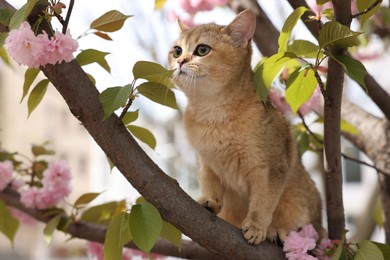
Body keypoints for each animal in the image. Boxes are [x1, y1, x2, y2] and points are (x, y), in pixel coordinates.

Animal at [169, 9, 324, 245]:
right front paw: (209, 200)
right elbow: (209, 182)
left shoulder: (270, 167)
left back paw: (278, 232)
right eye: (177, 50)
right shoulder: (205, 159)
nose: (179, 61)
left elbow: (263, 201)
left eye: (202, 50)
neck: (213, 114)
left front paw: (257, 226)